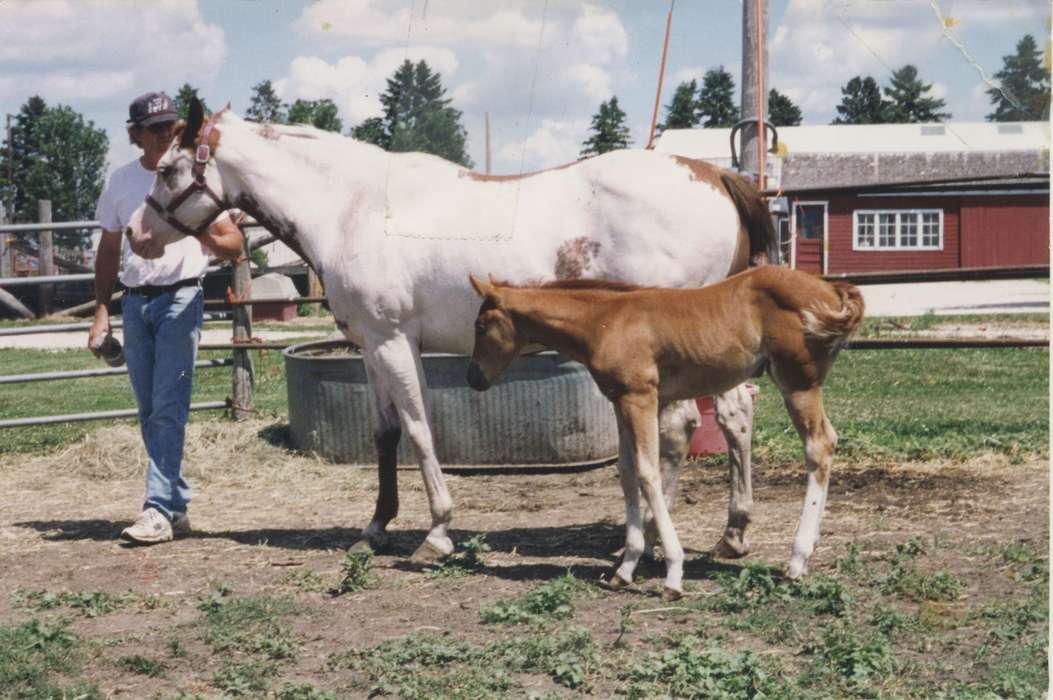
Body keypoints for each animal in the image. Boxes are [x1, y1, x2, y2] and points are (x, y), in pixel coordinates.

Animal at [129, 99, 775, 564]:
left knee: (679, 427)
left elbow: (419, 431)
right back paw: (731, 533)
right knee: (735, 415)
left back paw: (650, 541)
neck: (353, 207)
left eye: (166, 169)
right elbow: (385, 434)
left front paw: (436, 533)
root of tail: (713, 174)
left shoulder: (394, 342)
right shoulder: (370, 345)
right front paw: (376, 527)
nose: (137, 234)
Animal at [469, 265, 863, 597]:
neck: (605, 321)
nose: (474, 378)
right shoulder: (620, 400)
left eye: (481, 326)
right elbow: (627, 472)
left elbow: (648, 473)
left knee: (819, 446)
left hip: (798, 382)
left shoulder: (642, 397)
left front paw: (672, 574)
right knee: (826, 442)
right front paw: (625, 568)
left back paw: (797, 560)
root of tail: (831, 288)